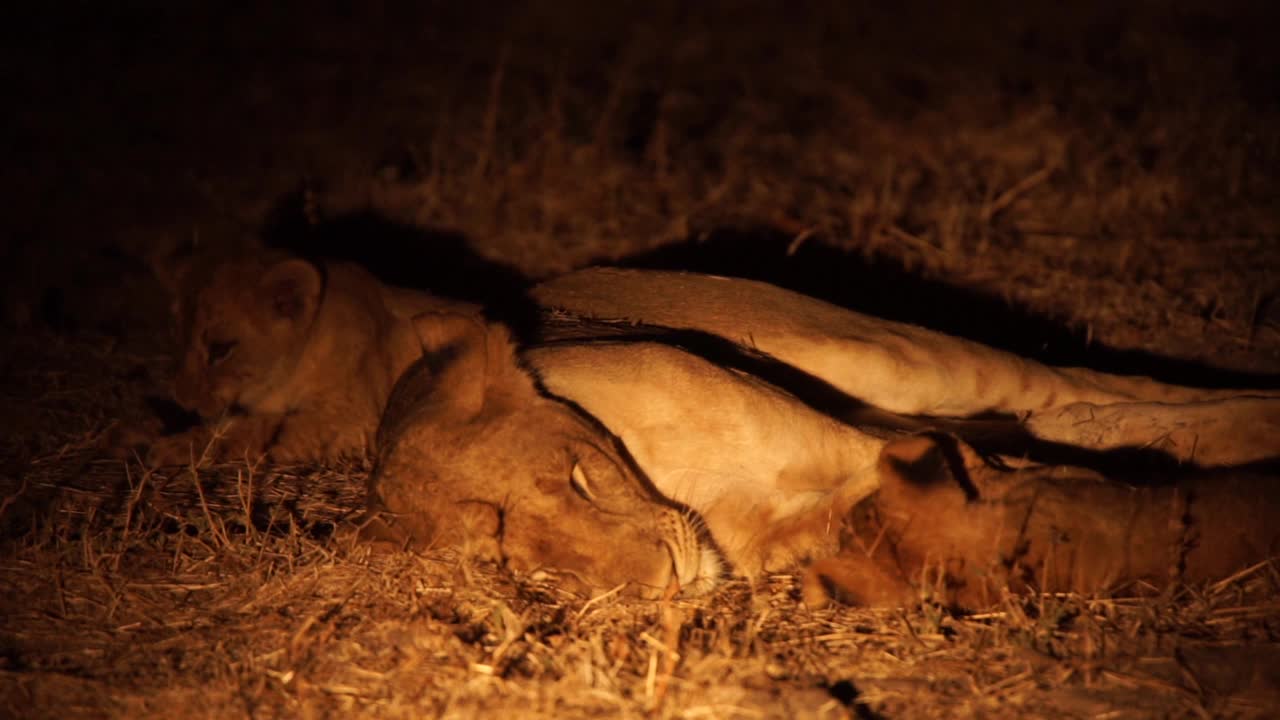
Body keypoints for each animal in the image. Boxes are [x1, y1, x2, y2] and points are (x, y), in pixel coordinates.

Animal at [141, 249, 481, 461]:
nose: (182, 399)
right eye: (175, 335)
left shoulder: (356, 420)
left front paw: (170, 448)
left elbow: (258, 430)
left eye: (221, 350)